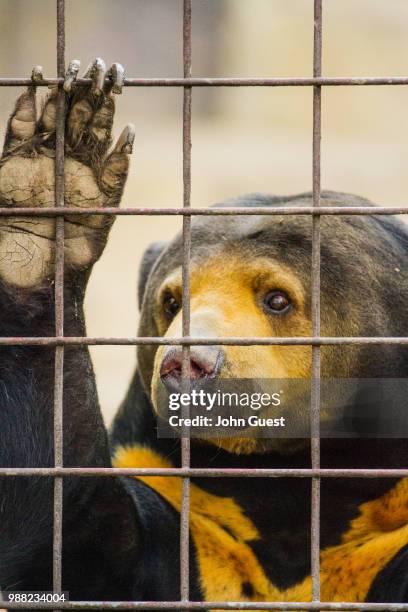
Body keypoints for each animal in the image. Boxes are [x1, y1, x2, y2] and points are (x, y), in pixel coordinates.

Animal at [0, 59, 408, 604]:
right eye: (172, 302)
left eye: (277, 299)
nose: (188, 362)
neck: (275, 489)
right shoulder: (182, 507)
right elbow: (62, 534)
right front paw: (45, 189)